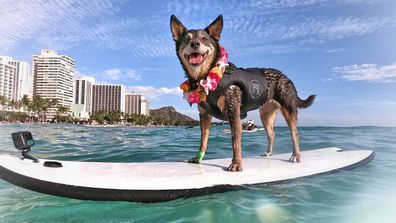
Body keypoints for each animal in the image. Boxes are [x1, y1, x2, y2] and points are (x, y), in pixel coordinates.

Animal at [170, 14, 316, 172]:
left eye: (204, 39)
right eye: (186, 39)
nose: (195, 43)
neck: (205, 74)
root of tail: (286, 77)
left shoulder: (233, 111)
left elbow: (235, 141)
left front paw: (236, 164)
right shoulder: (204, 115)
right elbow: (203, 140)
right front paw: (198, 159)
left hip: (288, 109)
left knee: (295, 133)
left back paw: (296, 156)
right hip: (265, 115)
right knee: (271, 134)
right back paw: (269, 153)